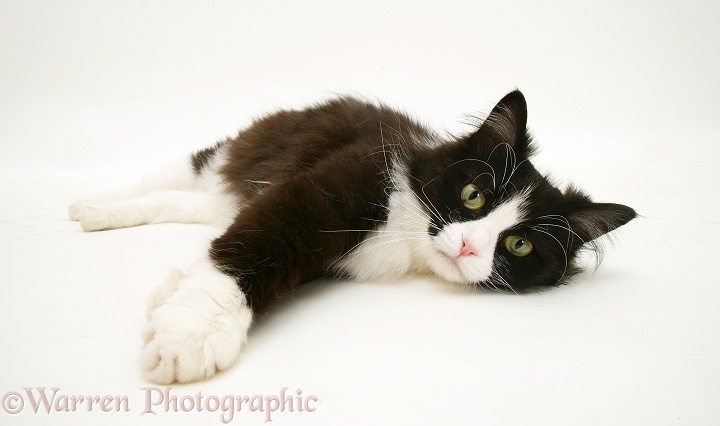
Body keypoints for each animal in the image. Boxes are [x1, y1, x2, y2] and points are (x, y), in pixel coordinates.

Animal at [69, 90, 636, 382]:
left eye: (519, 245)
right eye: (474, 195)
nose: (469, 245)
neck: (410, 236)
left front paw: (169, 295)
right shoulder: (329, 188)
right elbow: (257, 244)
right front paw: (188, 334)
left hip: (222, 192)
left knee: (188, 204)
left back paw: (98, 213)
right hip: (235, 153)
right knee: (170, 177)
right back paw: (89, 205)